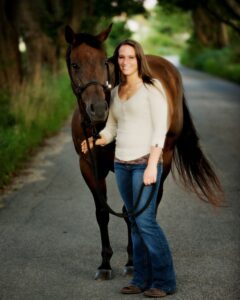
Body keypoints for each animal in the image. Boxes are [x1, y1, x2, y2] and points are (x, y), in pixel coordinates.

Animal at [64, 24, 223, 280]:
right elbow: (103, 212)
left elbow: (131, 210)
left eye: (103, 62)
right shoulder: (88, 167)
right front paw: (105, 264)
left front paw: (132, 260)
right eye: (75, 64)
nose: (98, 109)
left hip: (164, 159)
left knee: (152, 202)